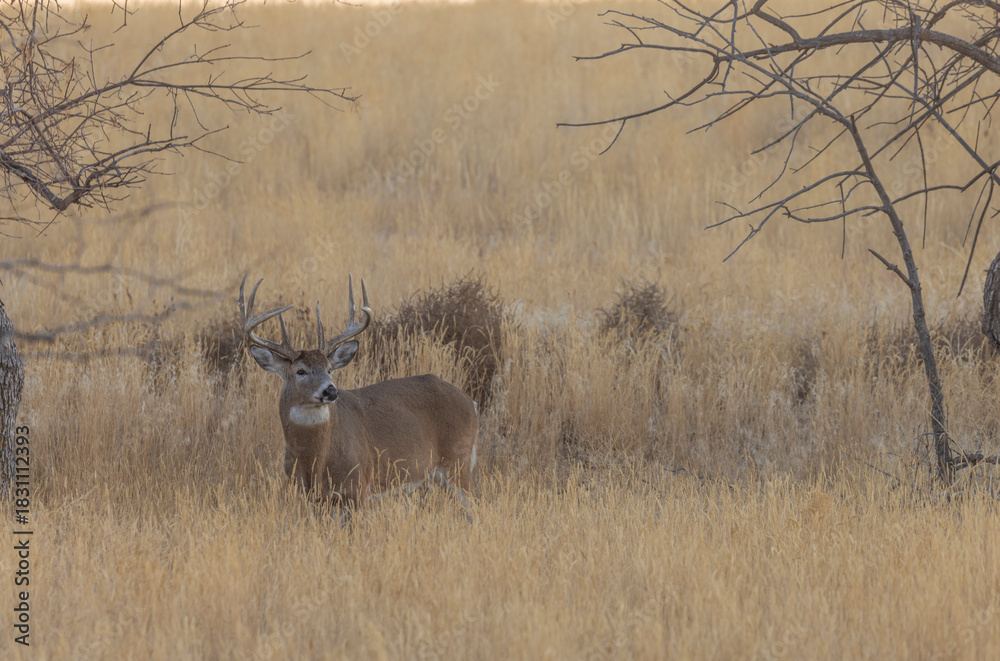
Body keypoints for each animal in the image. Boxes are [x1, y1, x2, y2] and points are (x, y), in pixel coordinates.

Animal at [239, 274, 479, 510]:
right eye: (300, 371)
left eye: (329, 369)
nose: (331, 390)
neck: (315, 462)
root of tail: (472, 403)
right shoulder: (310, 497)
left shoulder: (358, 486)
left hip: (458, 459)